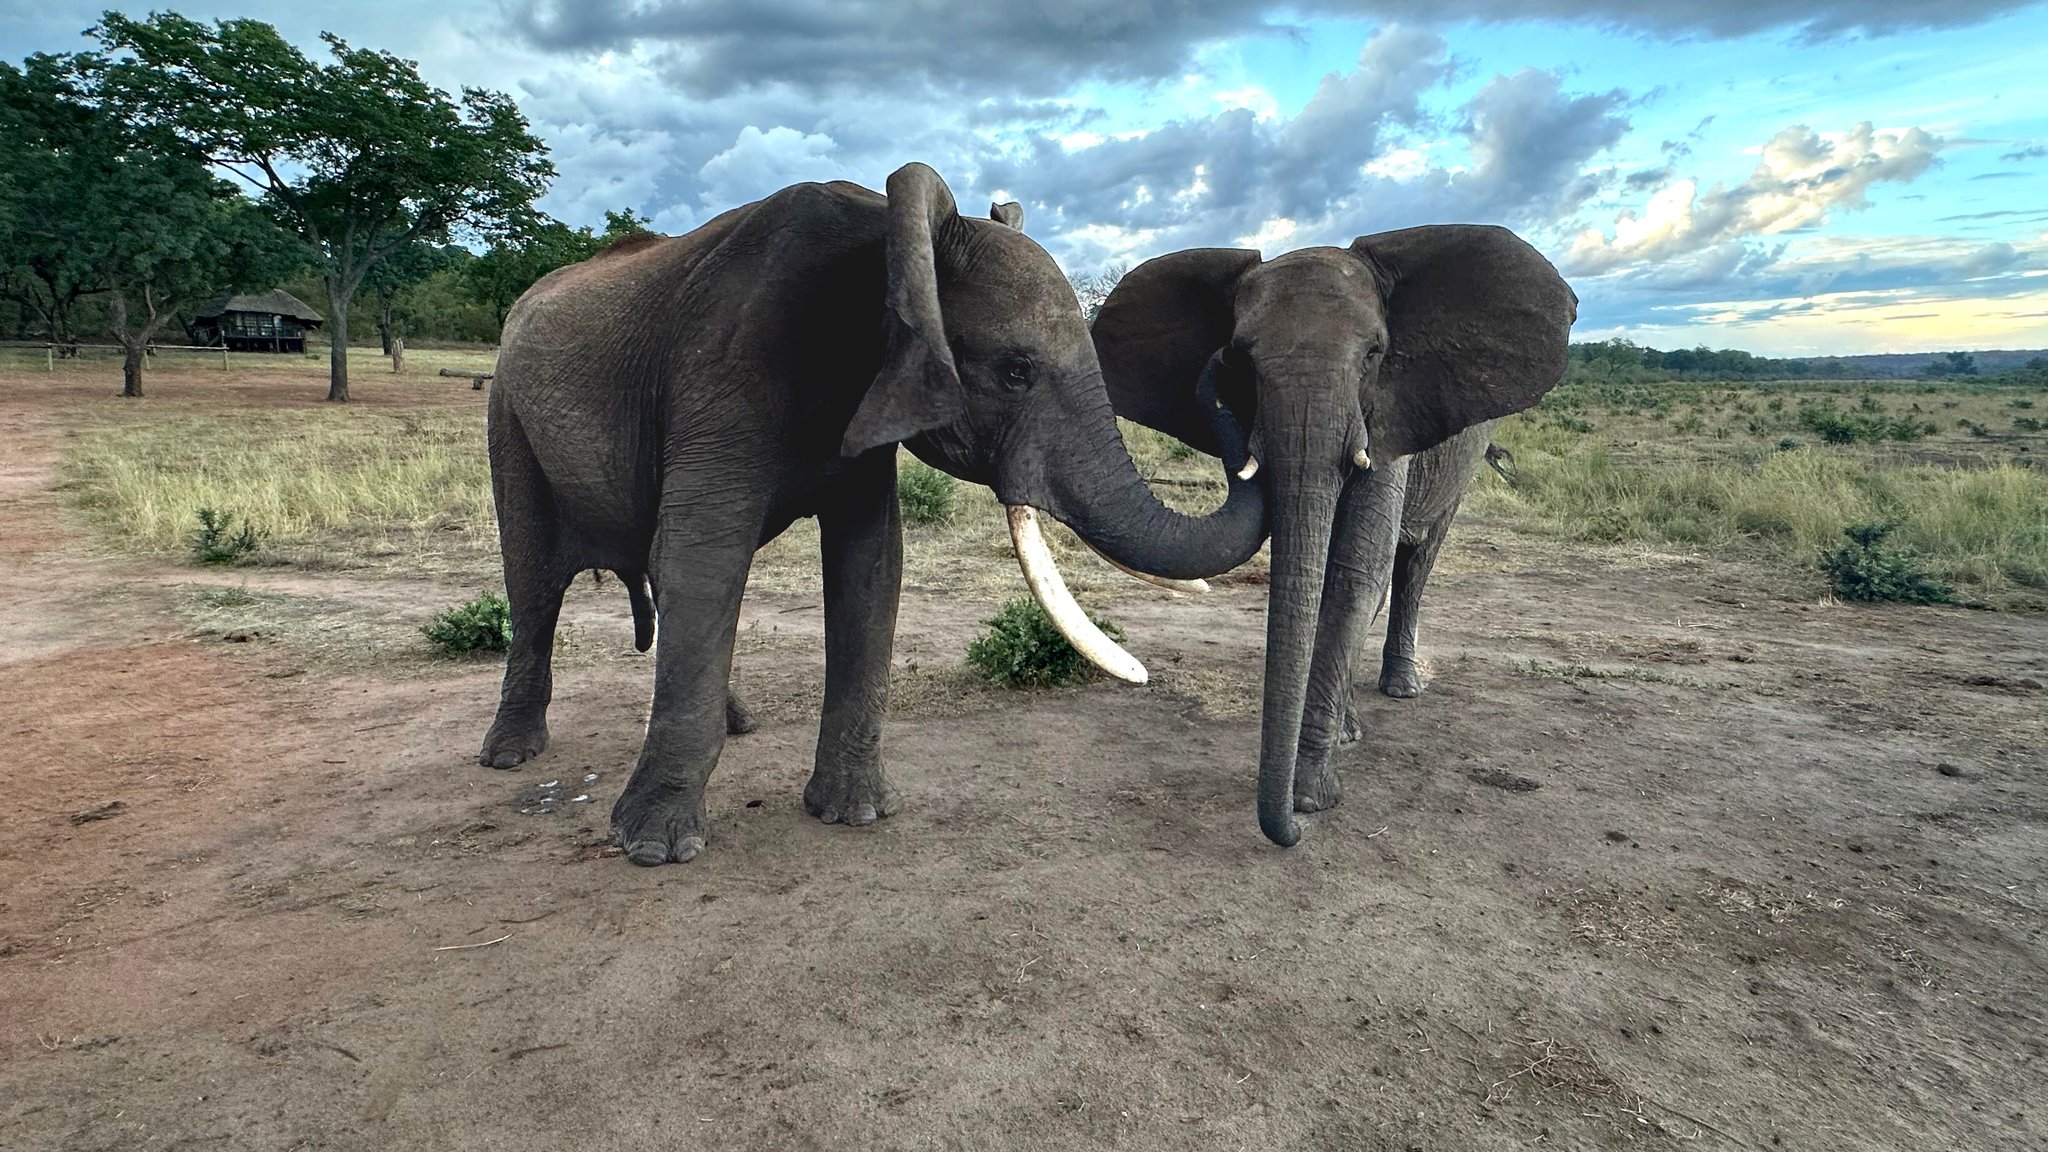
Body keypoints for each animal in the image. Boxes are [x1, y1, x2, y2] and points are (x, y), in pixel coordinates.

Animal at [479, 161, 1261, 860]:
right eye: (1015, 372)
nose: (1226, 364)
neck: (884, 240)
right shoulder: (721, 377)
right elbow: (705, 561)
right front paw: (653, 848)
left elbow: (871, 564)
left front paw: (854, 815)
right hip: (507, 414)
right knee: (536, 581)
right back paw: (510, 756)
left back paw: (740, 723)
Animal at [1097, 228, 1572, 848]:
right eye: (1240, 359)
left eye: (1374, 354)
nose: (1292, 832)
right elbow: (1315, 576)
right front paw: (1321, 773)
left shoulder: (1391, 414)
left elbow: (1354, 572)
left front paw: (1309, 799)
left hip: (1461, 464)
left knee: (1416, 562)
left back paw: (1401, 688)